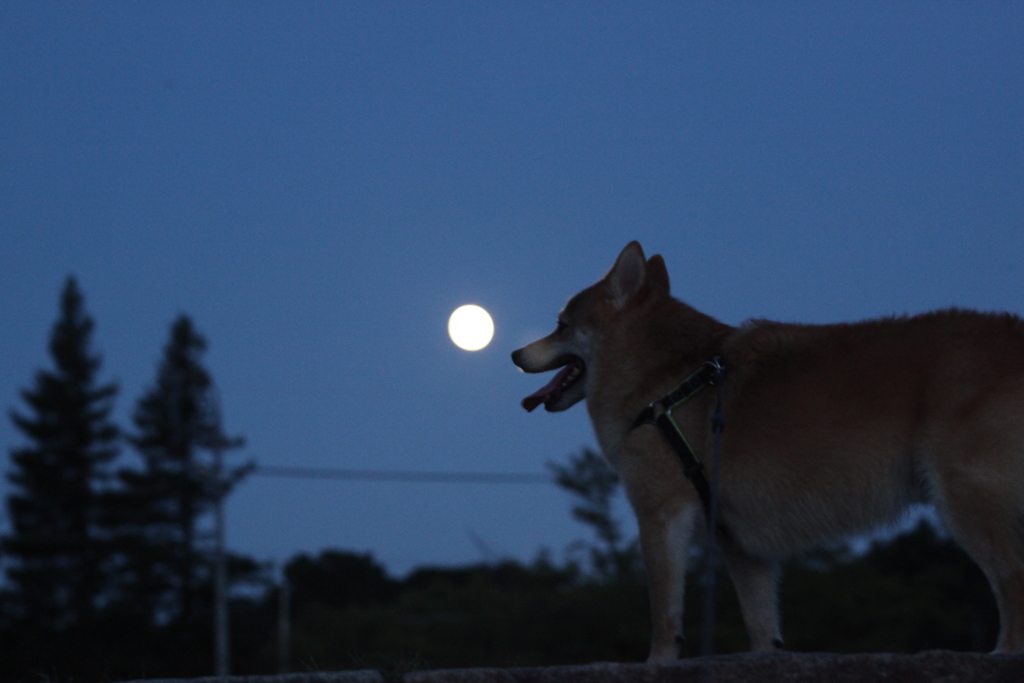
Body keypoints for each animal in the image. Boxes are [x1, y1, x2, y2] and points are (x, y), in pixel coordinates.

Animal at [512, 241, 1024, 663]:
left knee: (1012, 582)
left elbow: (665, 617)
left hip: (966, 502)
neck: (665, 382)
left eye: (561, 325)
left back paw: (1002, 654)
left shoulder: (660, 515)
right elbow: (762, 631)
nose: (515, 354)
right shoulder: (740, 545)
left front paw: (656, 664)